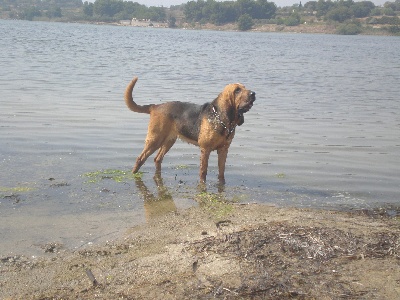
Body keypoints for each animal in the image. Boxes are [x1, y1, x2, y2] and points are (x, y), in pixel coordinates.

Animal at [124, 76, 256, 182]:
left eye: (244, 87)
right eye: (237, 90)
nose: (253, 93)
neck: (223, 120)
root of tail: (155, 106)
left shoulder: (223, 150)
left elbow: (221, 172)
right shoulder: (205, 149)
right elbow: (203, 172)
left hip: (168, 141)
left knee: (157, 159)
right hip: (155, 140)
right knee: (140, 159)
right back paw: (133, 175)